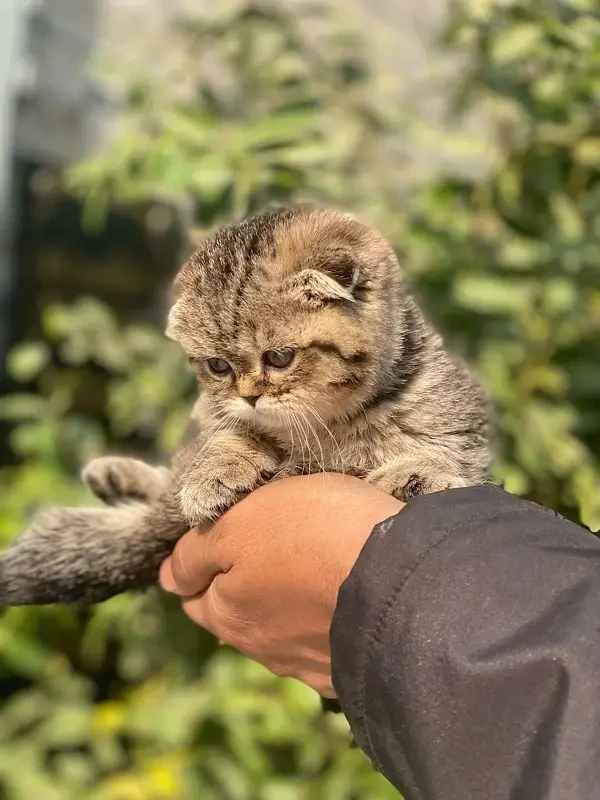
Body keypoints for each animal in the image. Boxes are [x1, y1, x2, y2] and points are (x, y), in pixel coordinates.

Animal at [0, 206, 488, 608]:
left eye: (280, 357)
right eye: (218, 366)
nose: (249, 395)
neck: (329, 420)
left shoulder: (457, 427)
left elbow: (432, 457)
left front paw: (415, 476)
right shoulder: (224, 419)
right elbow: (228, 437)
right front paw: (216, 473)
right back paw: (115, 476)